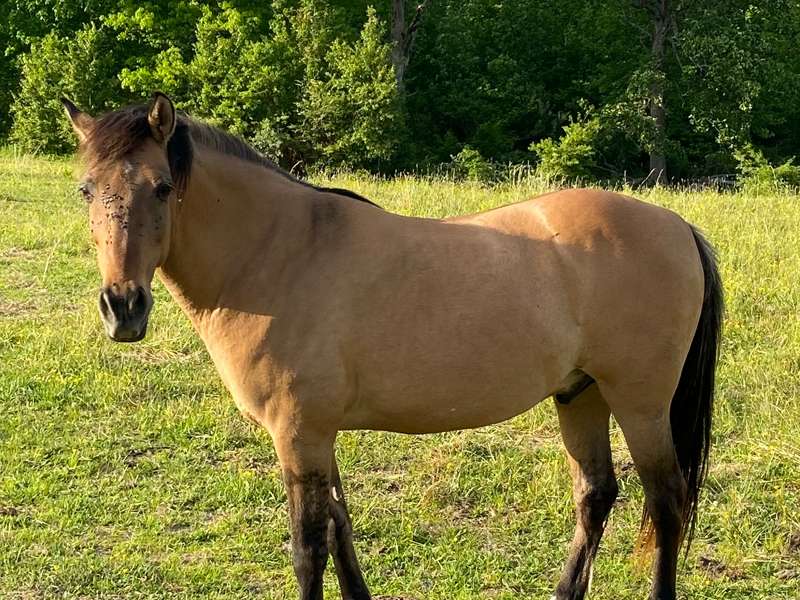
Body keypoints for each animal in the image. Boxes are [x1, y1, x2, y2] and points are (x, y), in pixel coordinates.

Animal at [61, 92, 722, 600]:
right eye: (86, 190)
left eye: (162, 187)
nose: (123, 308)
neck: (279, 255)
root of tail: (675, 224)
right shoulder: (317, 434)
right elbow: (339, 527)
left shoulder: (297, 433)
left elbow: (308, 546)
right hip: (580, 394)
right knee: (596, 495)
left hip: (639, 402)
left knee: (666, 501)